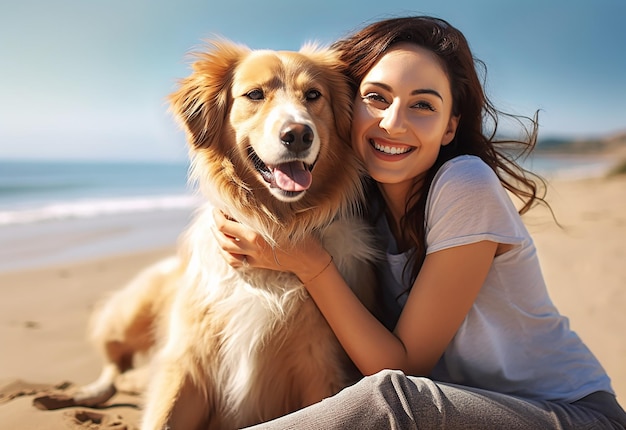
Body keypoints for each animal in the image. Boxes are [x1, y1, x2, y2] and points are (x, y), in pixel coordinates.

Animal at [71, 41, 378, 430]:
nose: (298, 134)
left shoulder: (320, 366)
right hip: (129, 312)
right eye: (255, 94)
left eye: (313, 95)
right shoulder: (187, 360)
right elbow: (162, 414)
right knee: (115, 362)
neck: (274, 225)